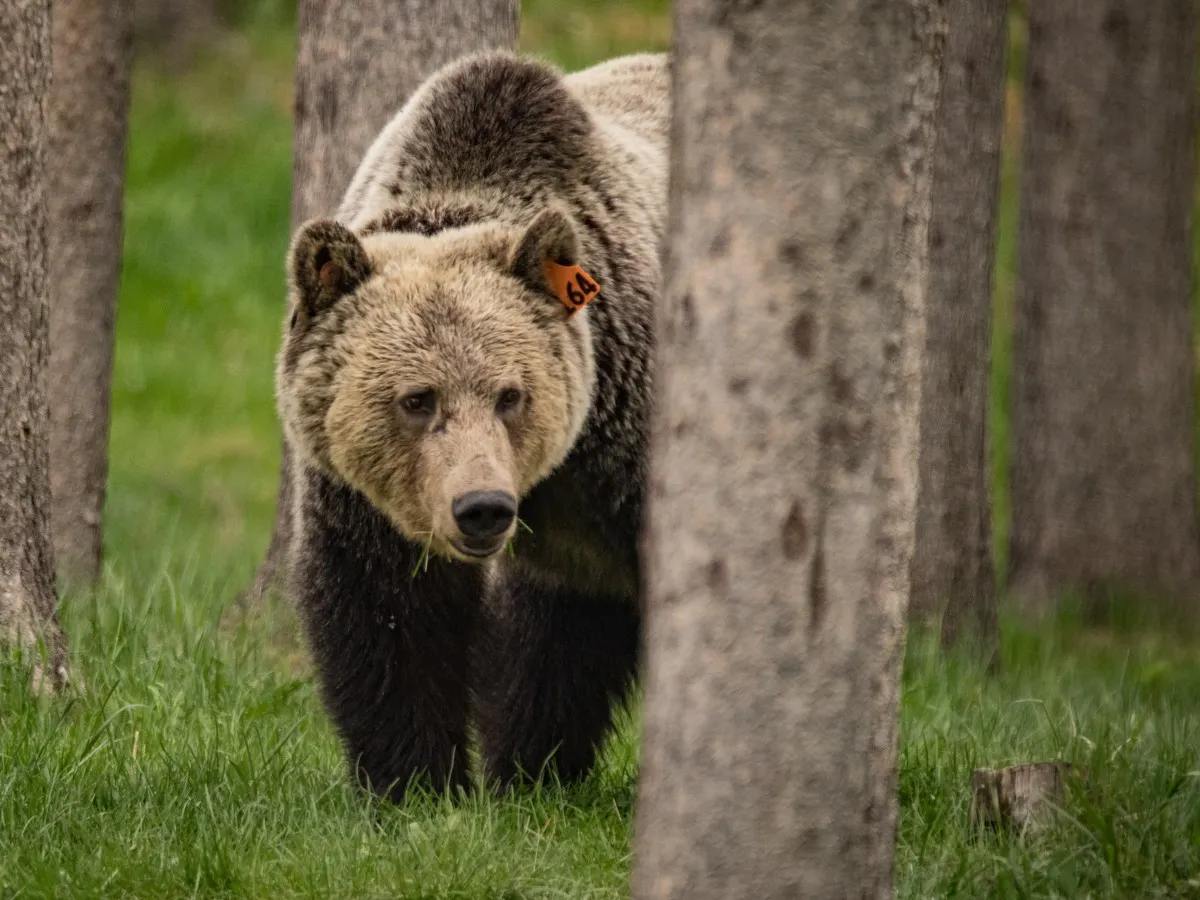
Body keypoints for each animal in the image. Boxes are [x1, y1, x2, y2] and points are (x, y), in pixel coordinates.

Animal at [275, 49, 668, 801]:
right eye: (417, 399)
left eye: (509, 394)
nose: (482, 507)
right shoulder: (369, 498)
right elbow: (391, 614)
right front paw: (415, 784)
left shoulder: (634, 431)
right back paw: (532, 769)